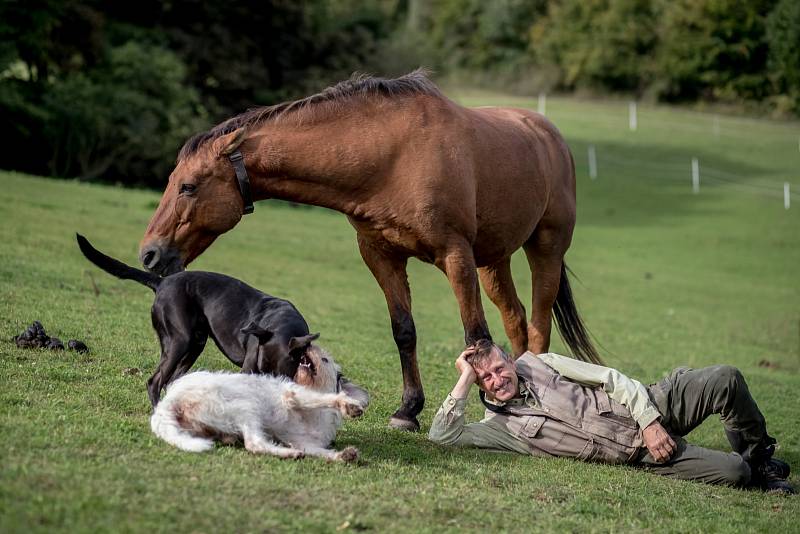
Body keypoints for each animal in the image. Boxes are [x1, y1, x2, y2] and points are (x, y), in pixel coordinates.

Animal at [76, 234, 318, 406]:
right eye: (256, 367)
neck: (283, 322)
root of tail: (161, 282)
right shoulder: (249, 361)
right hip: (180, 340)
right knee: (155, 381)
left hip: (195, 343)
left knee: (171, 381)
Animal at [141, 70, 596, 432]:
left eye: (188, 186)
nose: (149, 254)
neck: (393, 156)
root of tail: (547, 133)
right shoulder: (381, 255)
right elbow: (404, 331)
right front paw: (408, 410)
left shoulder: (455, 254)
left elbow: (476, 338)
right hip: (493, 260)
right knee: (517, 320)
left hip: (544, 248)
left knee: (538, 325)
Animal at [150, 346, 368, 462]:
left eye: (324, 359)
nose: (307, 346)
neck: (316, 417)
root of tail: (168, 401)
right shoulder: (293, 395)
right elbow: (323, 398)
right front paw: (348, 404)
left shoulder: (305, 442)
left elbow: (321, 452)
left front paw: (343, 455)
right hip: (246, 406)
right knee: (254, 444)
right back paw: (288, 453)